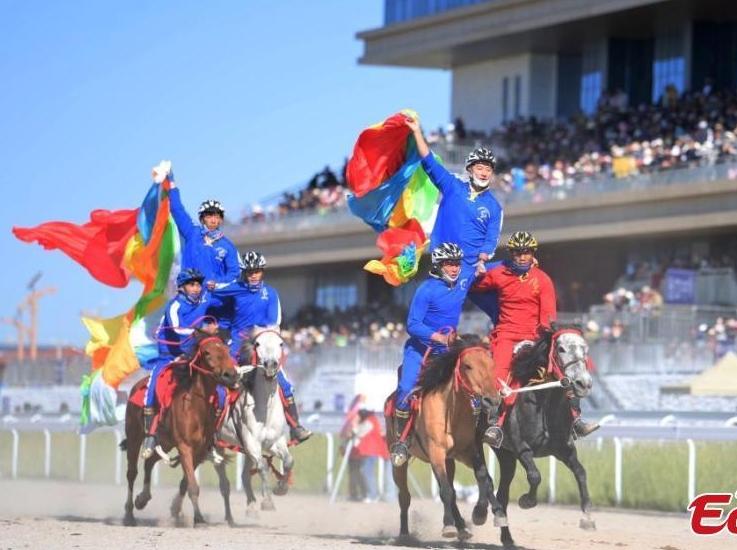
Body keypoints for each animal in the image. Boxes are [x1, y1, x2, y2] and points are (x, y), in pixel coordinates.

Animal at [119, 330, 237, 528]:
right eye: (206, 353)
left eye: (227, 350)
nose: (230, 375)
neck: (195, 406)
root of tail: (136, 386)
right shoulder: (184, 447)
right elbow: (193, 486)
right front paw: (199, 519)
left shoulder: (199, 451)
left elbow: (186, 483)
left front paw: (183, 513)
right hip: (135, 436)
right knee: (131, 473)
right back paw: (128, 514)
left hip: (165, 442)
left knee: (150, 463)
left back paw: (142, 499)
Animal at [213, 326, 294, 520]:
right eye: (257, 344)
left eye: (281, 343)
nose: (271, 365)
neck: (265, 407)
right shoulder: (251, 443)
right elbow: (263, 467)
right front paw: (268, 501)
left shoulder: (274, 442)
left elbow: (288, 461)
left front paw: (281, 488)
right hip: (217, 446)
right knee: (223, 482)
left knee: (244, 476)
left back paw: (250, 507)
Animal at [386, 336, 506, 544]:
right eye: (467, 366)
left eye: (492, 364)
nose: (492, 400)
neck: (451, 411)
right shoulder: (436, 452)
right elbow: (446, 491)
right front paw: (449, 525)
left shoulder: (468, 451)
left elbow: (484, 478)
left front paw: (486, 513)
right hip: (400, 463)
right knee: (405, 496)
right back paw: (404, 534)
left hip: (448, 461)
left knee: (451, 489)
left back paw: (463, 527)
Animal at [480, 326, 596, 548]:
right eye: (561, 349)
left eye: (585, 349)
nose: (583, 383)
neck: (543, 401)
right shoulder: (521, 447)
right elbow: (535, 476)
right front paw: (527, 500)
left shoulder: (564, 449)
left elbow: (581, 473)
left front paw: (588, 517)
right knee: (481, 477)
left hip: (504, 453)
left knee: (501, 491)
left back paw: (504, 534)